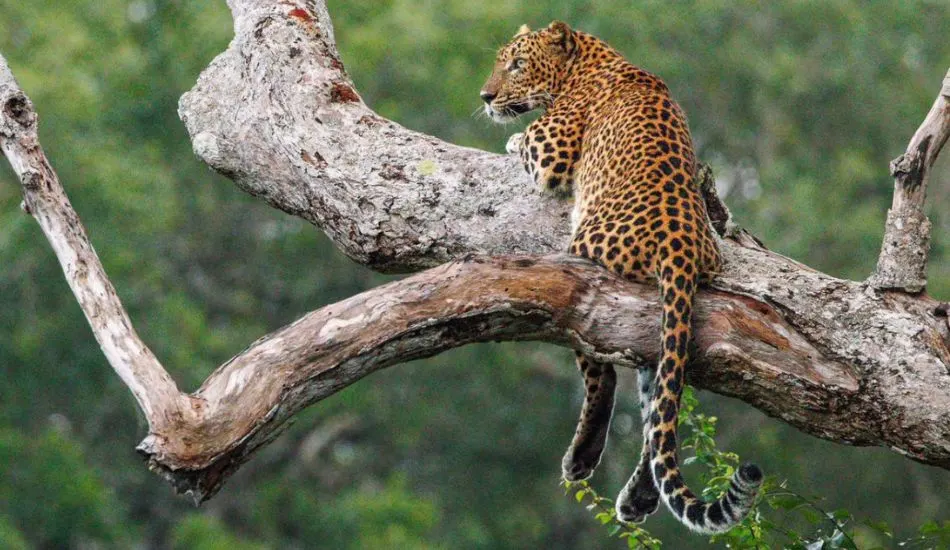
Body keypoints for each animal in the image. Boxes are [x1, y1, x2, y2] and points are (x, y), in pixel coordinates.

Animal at [480, 21, 763, 534]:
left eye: (517, 64)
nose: (485, 96)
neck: (590, 58)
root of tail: (682, 245)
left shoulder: (551, 149)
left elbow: (523, 139)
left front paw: (509, 139)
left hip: (586, 269)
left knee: (601, 372)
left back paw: (583, 456)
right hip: (658, 315)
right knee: (660, 405)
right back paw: (638, 496)